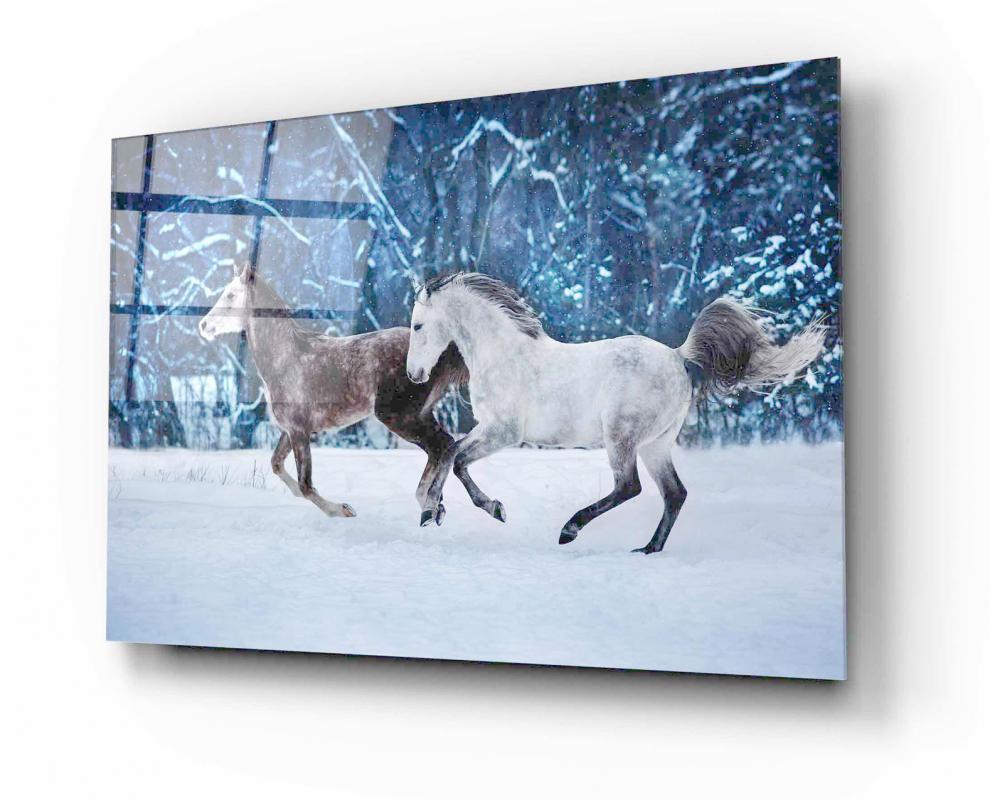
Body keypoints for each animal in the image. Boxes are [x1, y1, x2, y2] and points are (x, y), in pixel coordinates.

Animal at [198, 264, 492, 523]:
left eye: (231, 295)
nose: (204, 325)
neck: (286, 358)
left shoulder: (299, 431)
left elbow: (305, 485)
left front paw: (342, 510)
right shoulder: (290, 430)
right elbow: (277, 465)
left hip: (399, 417)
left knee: (444, 445)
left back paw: (434, 506)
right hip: (419, 414)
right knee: (446, 448)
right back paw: (457, 506)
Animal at [405, 272, 826, 554]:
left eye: (418, 325)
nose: (414, 374)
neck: (506, 355)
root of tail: (679, 357)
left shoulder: (503, 431)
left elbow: (458, 460)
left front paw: (490, 509)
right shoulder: (490, 430)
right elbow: (451, 454)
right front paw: (432, 512)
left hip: (620, 437)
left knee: (629, 486)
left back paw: (570, 530)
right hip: (656, 445)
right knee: (674, 493)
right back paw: (647, 549)